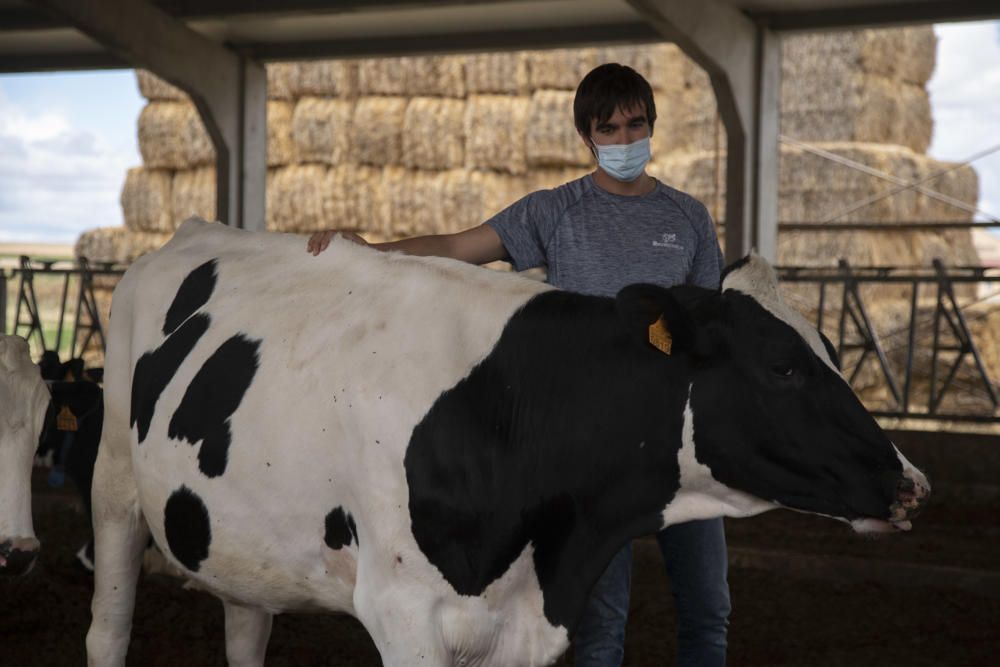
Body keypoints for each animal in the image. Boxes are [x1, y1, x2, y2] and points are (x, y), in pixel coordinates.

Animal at [86, 220, 928, 667]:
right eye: (782, 365)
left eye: (829, 350)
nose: (911, 482)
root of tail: (195, 229)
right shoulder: (401, 611)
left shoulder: (525, 625)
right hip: (115, 491)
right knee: (107, 628)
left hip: (243, 539)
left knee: (246, 625)